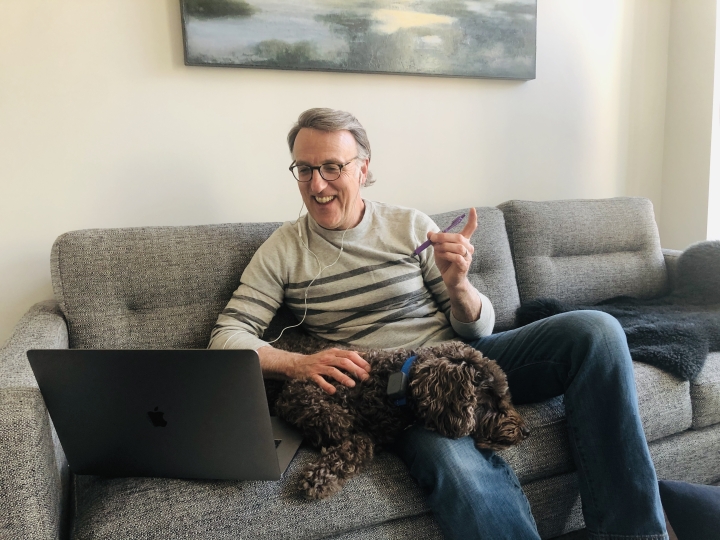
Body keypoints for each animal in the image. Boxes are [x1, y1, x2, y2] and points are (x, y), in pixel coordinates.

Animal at [276, 340, 528, 500]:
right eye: (488, 401)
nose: (526, 432)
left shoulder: (376, 436)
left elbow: (361, 442)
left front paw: (322, 476)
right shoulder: (301, 388)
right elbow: (332, 417)